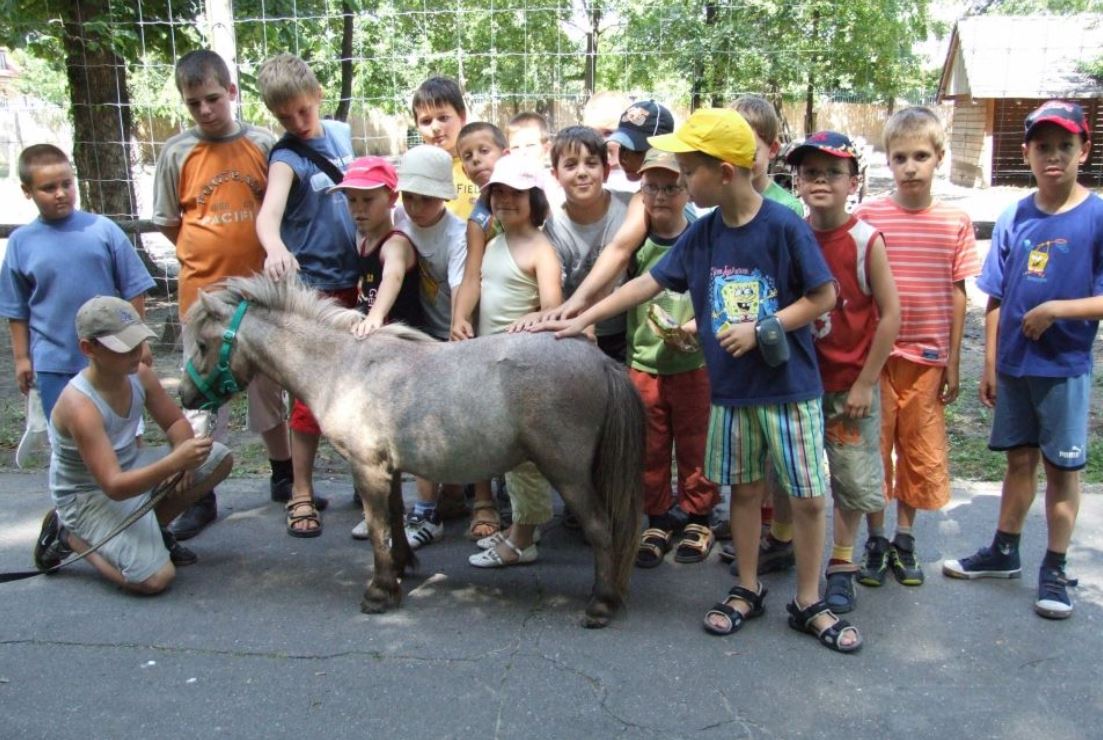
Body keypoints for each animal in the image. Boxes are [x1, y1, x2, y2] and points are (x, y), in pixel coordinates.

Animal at [179, 274, 644, 626]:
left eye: (202, 345)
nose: (185, 396)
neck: (343, 367)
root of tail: (600, 361)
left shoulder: (367, 468)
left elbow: (377, 527)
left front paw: (380, 591)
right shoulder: (389, 468)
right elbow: (395, 519)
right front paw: (401, 566)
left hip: (568, 474)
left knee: (602, 528)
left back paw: (601, 604)